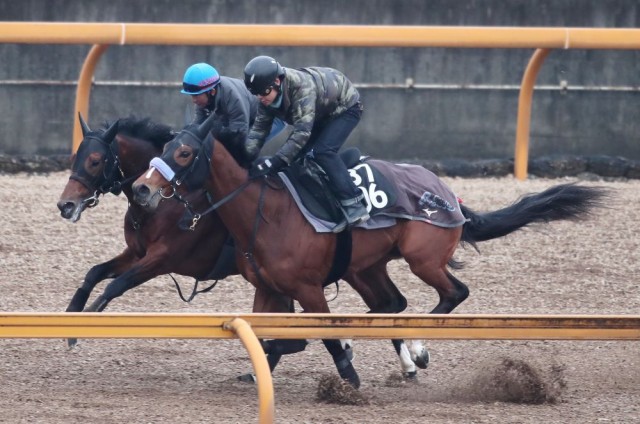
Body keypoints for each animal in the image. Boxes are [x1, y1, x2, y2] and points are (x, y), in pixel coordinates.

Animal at [57, 113, 428, 380]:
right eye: (75, 156)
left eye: (94, 160)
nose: (65, 205)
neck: (165, 204)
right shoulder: (136, 253)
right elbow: (94, 274)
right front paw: (72, 321)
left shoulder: (163, 258)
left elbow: (115, 284)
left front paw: (88, 320)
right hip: (360, 267)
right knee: (388, 302)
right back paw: (407, 361)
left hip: (353, 269)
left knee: (387, 303)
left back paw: (407, 356)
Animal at [130, 115, 608, 388]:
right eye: (165, 147)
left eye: (184, 152)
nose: (141, 189)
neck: (267, 211)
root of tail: (446, 193)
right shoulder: (268, 289)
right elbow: (268, 336)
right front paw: (259, 369)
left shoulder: (308, 289)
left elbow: (311, 335)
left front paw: (348, 374)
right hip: (365, 267)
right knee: (392, 303)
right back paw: (401, 352)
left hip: (423, 257)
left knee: (453, 293)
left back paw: (418, 349)